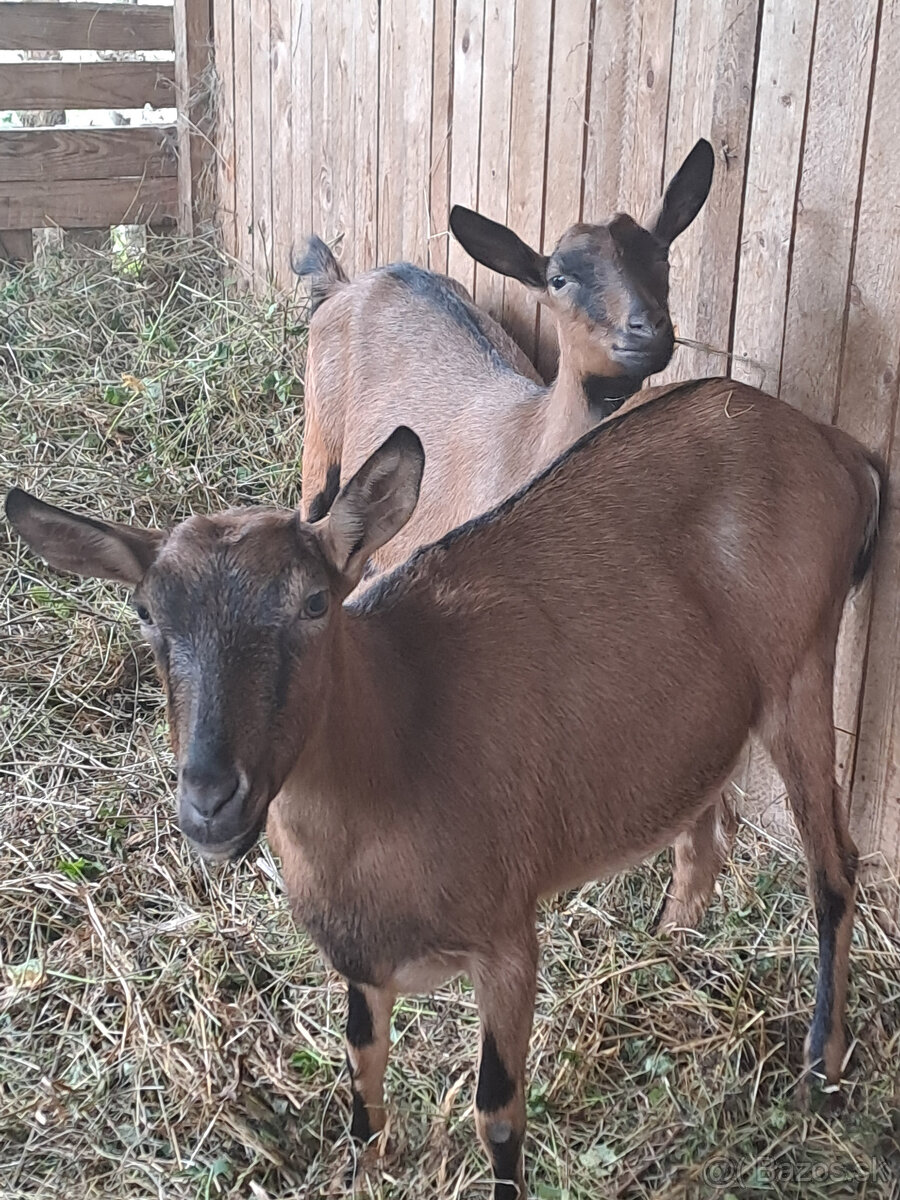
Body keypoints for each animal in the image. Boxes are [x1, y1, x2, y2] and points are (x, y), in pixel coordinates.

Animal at [5, 379, 883, 1195]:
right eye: (146, 614)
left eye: (315, 602)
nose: (211, 800)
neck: (400, 745)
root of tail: (833, 446)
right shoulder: (360, 957)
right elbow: (361, 1060)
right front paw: (364, 1167)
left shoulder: (507, 940)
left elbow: (498, 1109)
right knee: (706, 831)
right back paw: (661, 953)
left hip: (801, 669)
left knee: (833, 868)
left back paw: (823, 1064)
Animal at [300, 138, 715, 573]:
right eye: (558, 280)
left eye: (662, 258)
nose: (647, 329)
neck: (530, 436)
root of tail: (344, 285)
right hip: (319, 440)